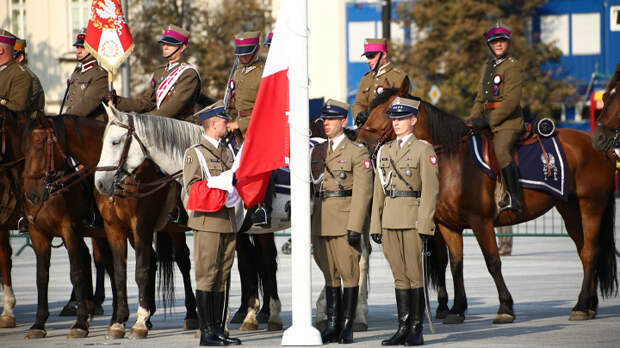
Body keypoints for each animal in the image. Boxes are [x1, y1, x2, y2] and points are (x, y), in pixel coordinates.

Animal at [23, 113, 196, 338]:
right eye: (24, 148)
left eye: (41, 145)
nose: (31, 194)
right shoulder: (111, 228)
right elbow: (118, 271)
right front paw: (119, 321)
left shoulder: (137, 225)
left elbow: (137, 270)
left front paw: (134, 323)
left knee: (183, 261)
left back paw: (191, 315)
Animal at [356, 83, 616, 324]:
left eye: (389, 110)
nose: (361, 142)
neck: (451, 161)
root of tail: (598, 145)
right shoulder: (448, 225)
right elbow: (456, 264)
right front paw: (457, 309)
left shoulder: (480, 221)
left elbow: (492, 262)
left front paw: (505, 307)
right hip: (569, 209)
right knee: (583, 250)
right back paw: (589, 304)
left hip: (591, 206)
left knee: (590, 251)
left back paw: (581, 305)